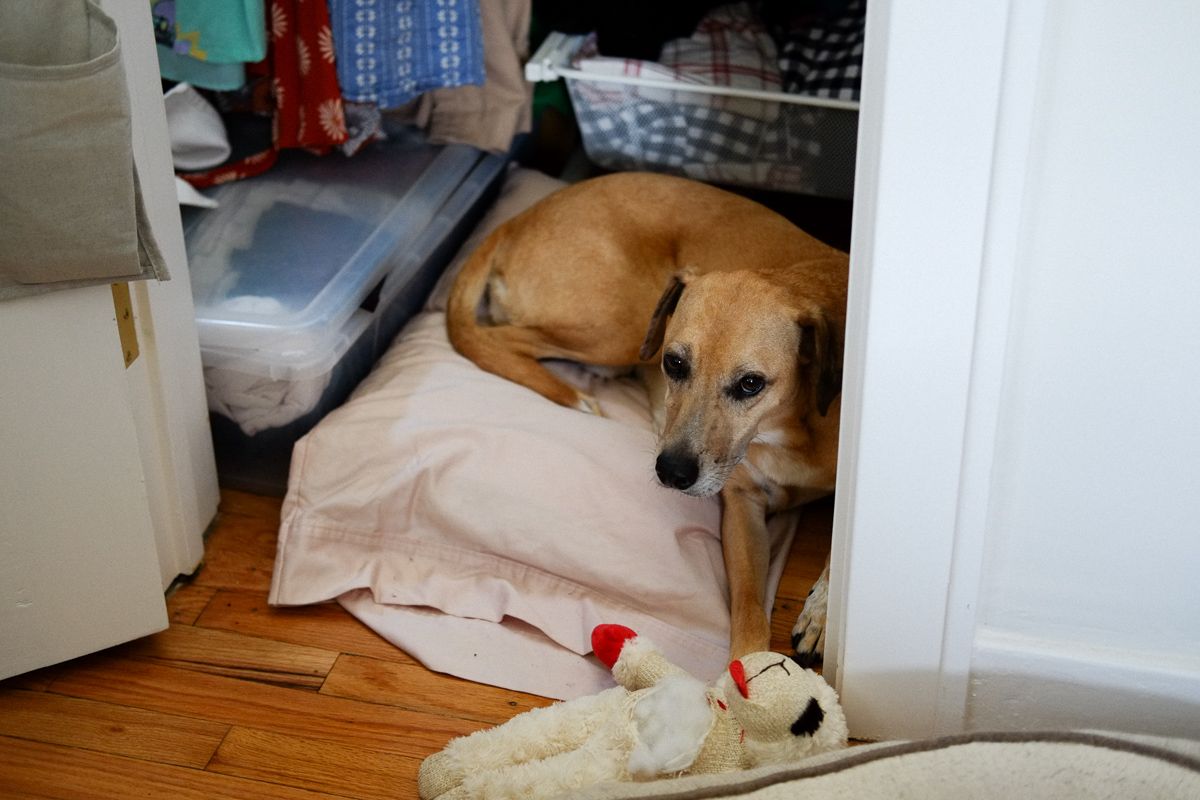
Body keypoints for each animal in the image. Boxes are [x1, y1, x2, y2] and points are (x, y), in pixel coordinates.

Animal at [446, 172, 849, 662]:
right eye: (675, 363)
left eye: (751, 384)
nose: (672, 471)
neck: (791, 425)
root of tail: (522, 217)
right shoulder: (742, 504)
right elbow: (749, 610)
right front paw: (746, 672)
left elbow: (840, 550)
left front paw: (824, 615)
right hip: (619, 324)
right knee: (494, 339)